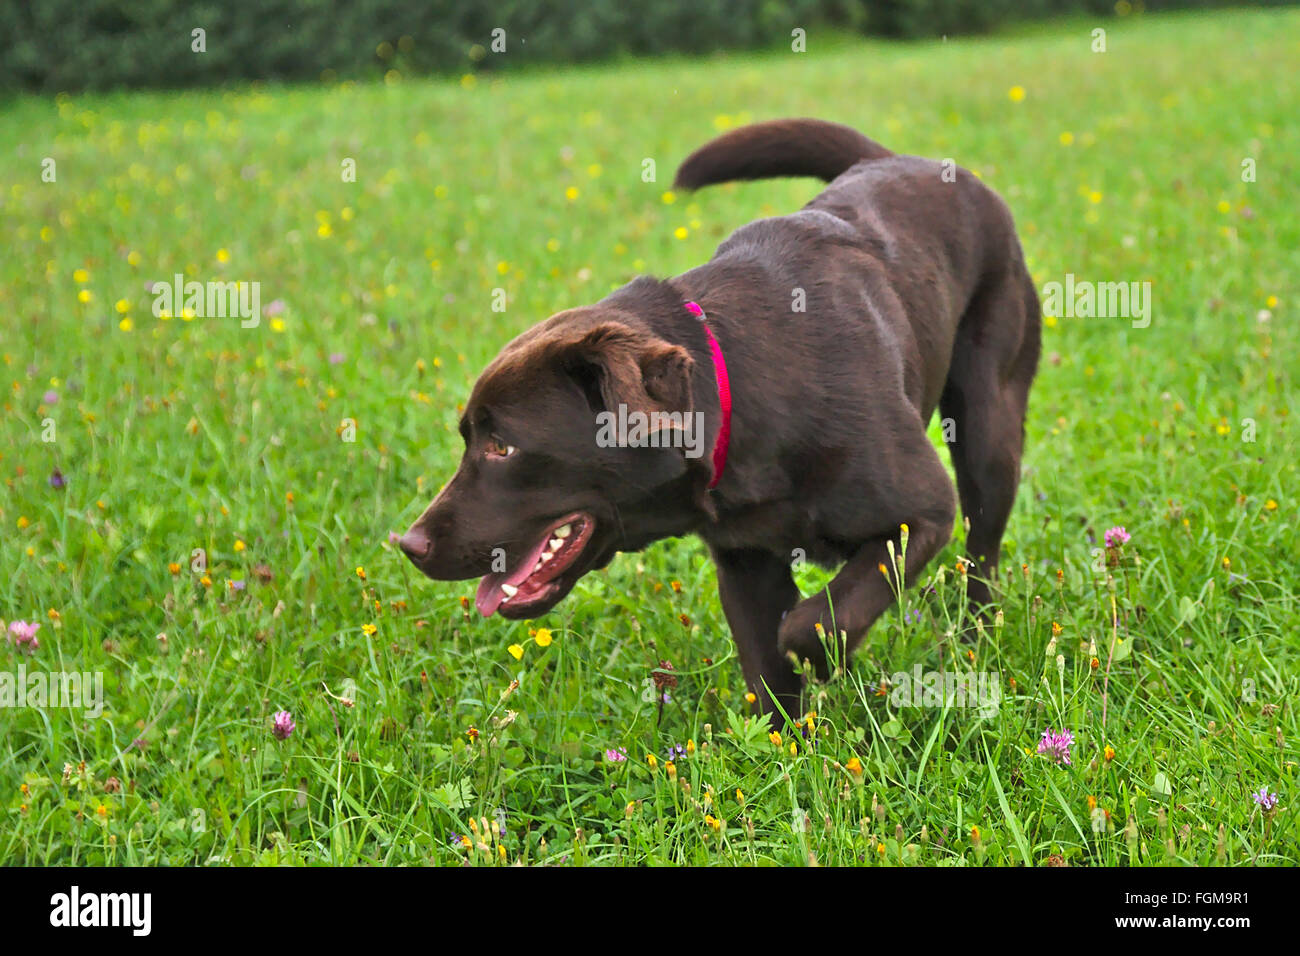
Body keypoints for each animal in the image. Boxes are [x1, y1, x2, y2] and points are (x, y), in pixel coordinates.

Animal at [400, 117, 1040, 717]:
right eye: (468, 437)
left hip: (987, 429)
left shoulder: (922, 514)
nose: (408, 544)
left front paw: (831, 661)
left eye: (502, 446)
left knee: (983, 551)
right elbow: (769, 667)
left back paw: (976, 636)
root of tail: (899, 158)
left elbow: (811, 623)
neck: (742, 389)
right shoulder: (745, 562)